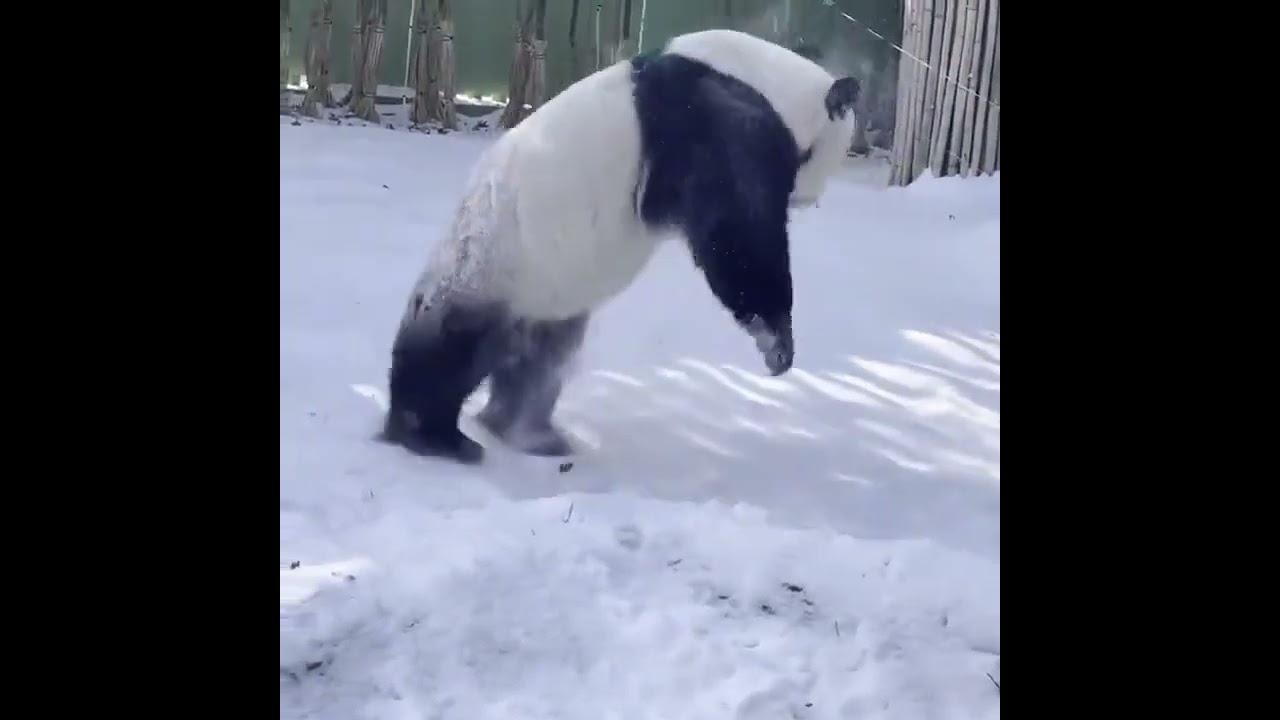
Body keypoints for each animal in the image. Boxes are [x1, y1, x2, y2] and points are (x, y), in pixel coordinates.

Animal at [382, 28, 860, 464]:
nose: (809, 200)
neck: (771, 81)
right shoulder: (714, 122)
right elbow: (736, 230)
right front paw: (776, 342)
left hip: (546, 294)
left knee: (540, 359)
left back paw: (526, 431)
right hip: (494, 265)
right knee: (449, 348)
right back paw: (433, 437)